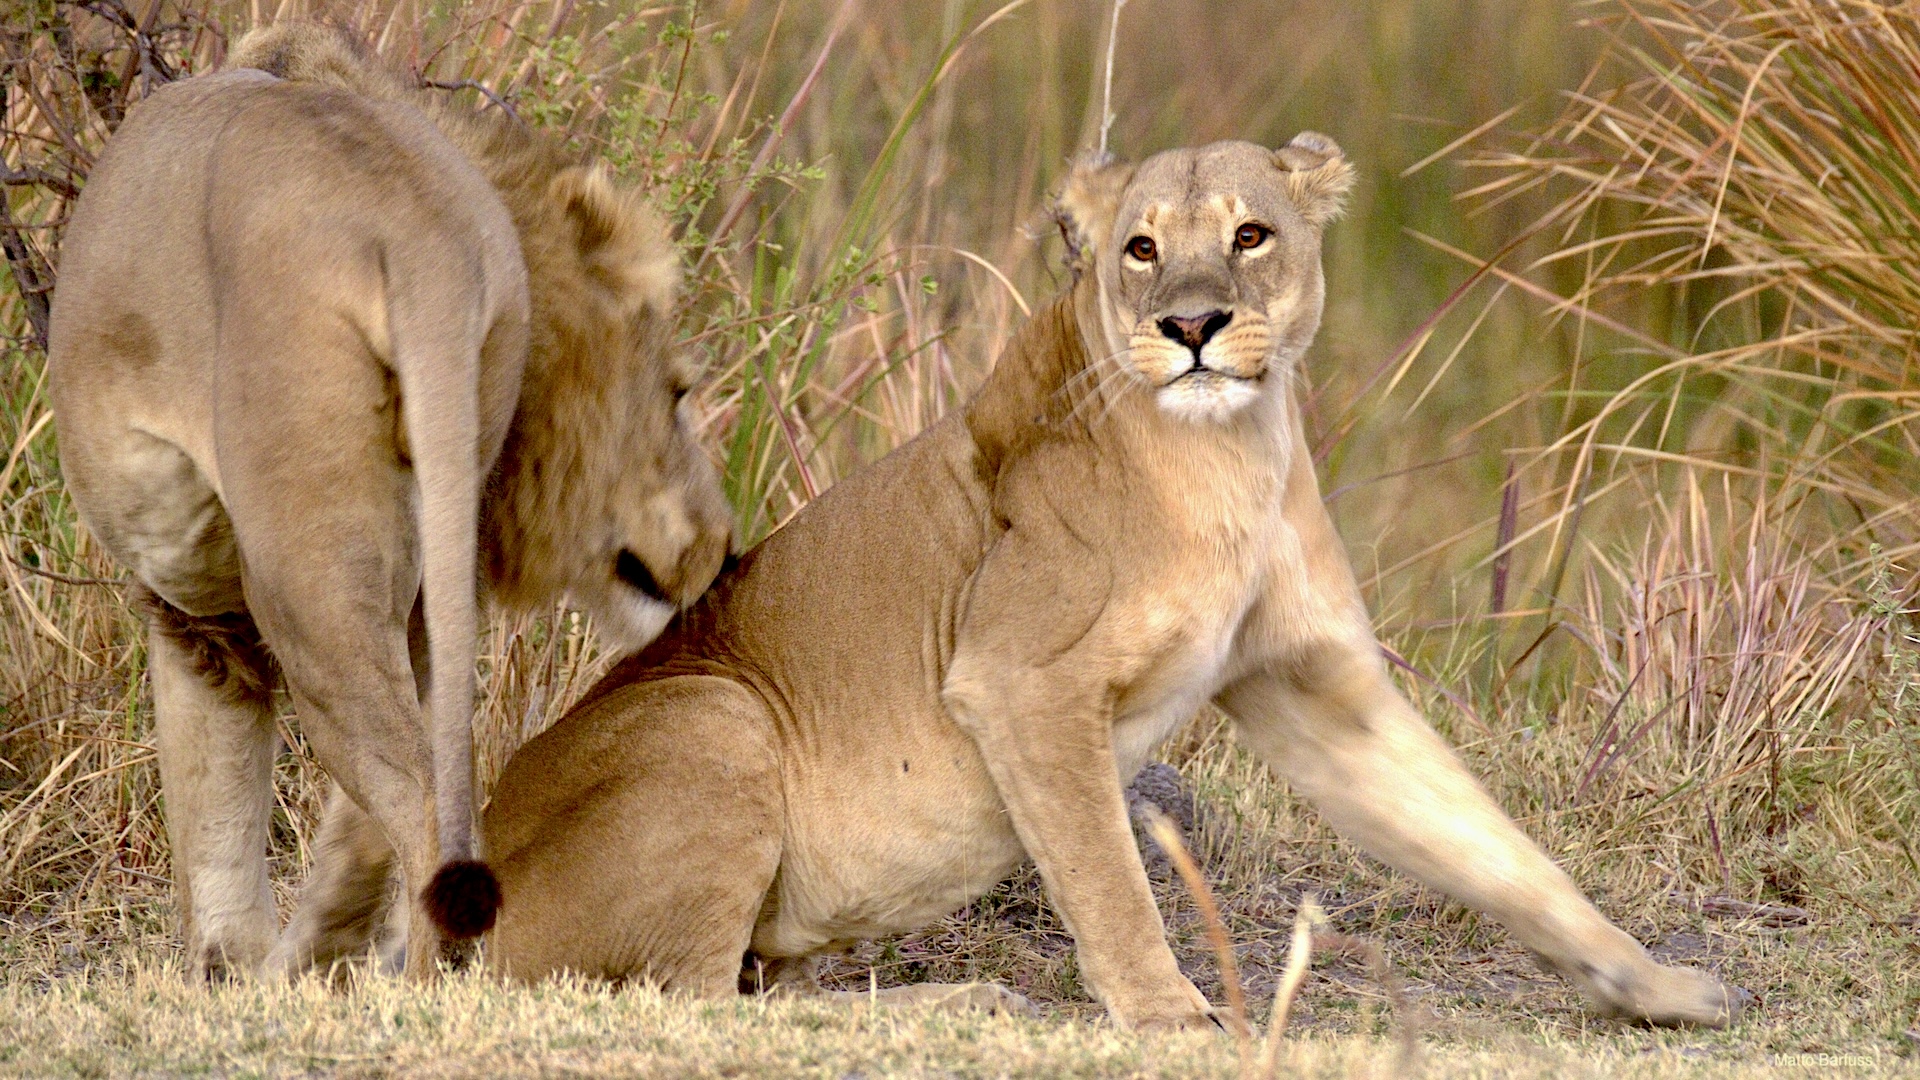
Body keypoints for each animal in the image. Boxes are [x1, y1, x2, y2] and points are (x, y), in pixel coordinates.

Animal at [44, 25, 732, 980]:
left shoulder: (190, 609)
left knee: (407, 790)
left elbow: (210, 803)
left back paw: (403, 978)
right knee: (422, 782)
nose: (723, 542)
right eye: (676, 394)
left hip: (301, 566)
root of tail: (415, 234)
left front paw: (232, 970)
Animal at [421, 136, 1743, 1028]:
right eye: (1141, 248)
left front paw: (1654, 983)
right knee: (694, 1000)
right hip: (715, 713)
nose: (1193, 326)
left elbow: (1490, 843)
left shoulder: (1319, 688)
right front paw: (1170, 1014)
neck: (1227, 461)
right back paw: (953, 1005)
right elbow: (1111, 876)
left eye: (1251, 235)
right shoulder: (1018, 682)